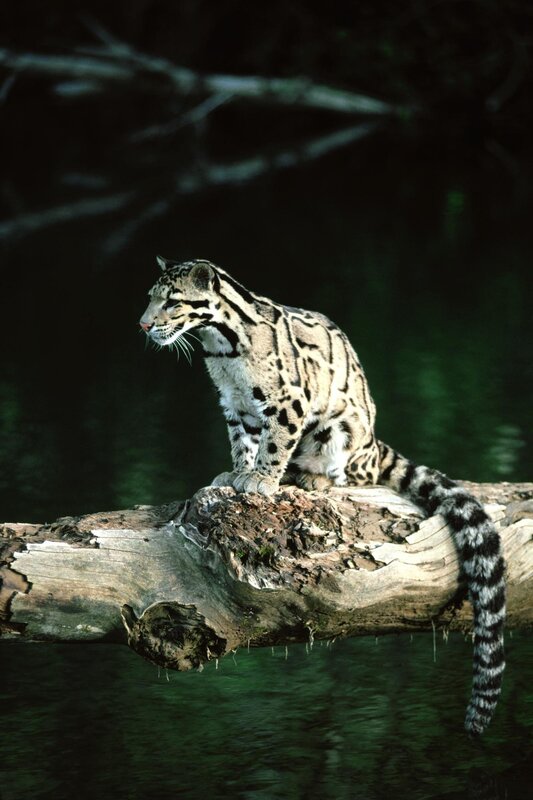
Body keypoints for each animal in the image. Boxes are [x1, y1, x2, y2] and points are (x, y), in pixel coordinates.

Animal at [140, 256, 506, 735]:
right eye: (150, 298)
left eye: (172, 301)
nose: (144, 325)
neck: (221, 347)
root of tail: (374, 443)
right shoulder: (235, 405)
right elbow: (242, 442)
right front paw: (236, 472)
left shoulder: (288, 401)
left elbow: (274, 444)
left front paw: (261, 480)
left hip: (339, 431)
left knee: (351, 475)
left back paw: (312, 479)